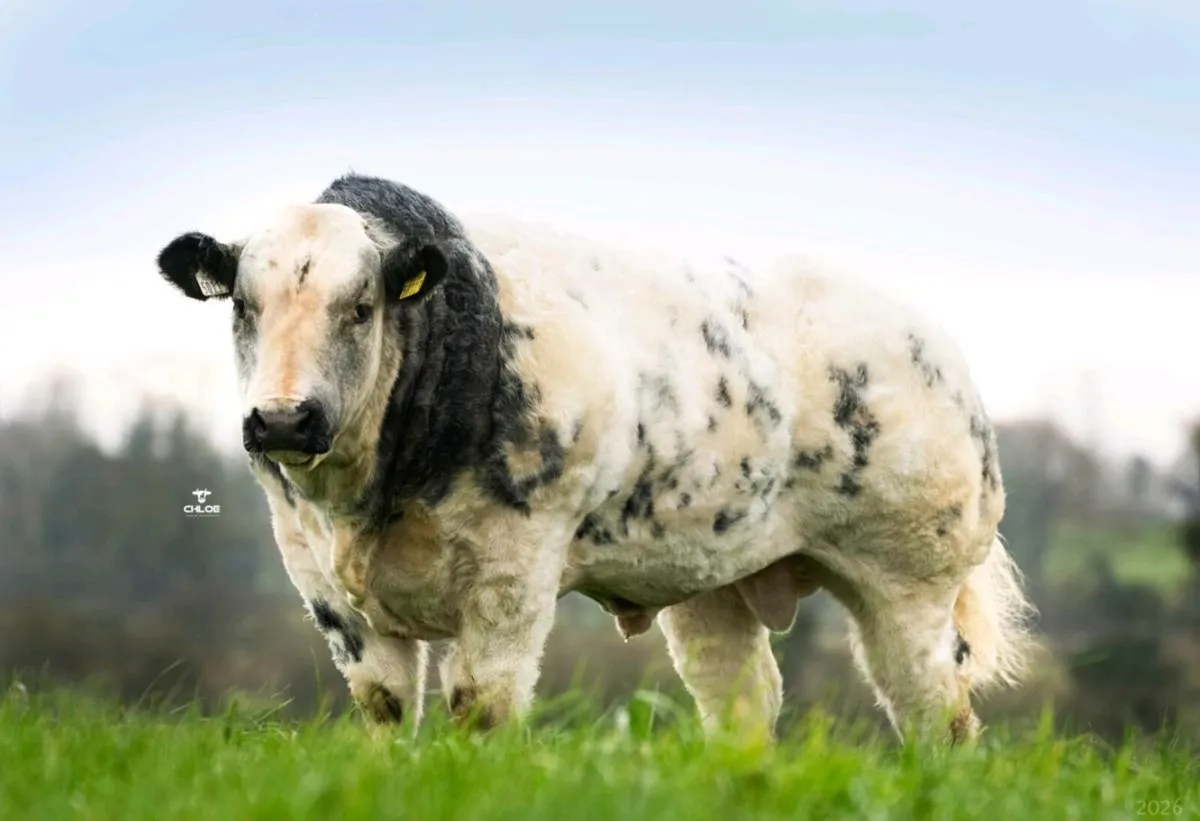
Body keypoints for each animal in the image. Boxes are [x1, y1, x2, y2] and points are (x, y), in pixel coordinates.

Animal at [154, 173, 1037, 744]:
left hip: (911, 575)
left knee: (937, 711)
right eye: (242, 304)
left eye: (362, 305)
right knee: (743, 698)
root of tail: (930, 338)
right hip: (711, 581)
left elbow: (481, 706)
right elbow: (384, 709)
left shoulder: (514, 571)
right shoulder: (320, 581)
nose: (283, 417)